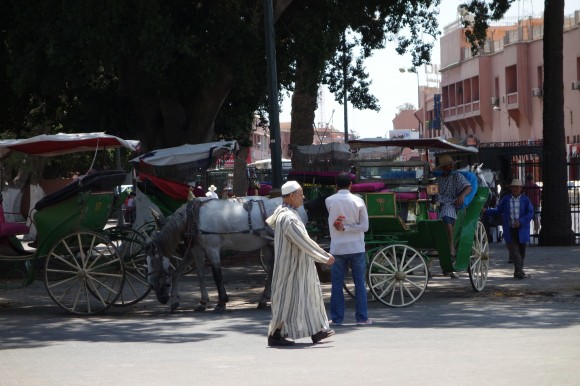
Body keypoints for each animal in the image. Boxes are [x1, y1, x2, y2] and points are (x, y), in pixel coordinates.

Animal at [146, 198, 308, 312]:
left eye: (153, 260)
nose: (152, 285)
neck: (194, 217)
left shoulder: (212, 249)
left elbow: (217, 275)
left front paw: (221, 302)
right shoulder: (195, 250)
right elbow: (191, 274)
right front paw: (192, 302)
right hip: (268, 246)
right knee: (271, 270)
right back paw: (263, 299)